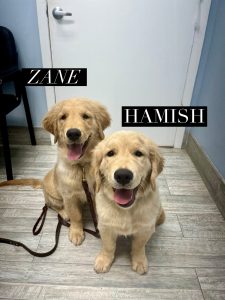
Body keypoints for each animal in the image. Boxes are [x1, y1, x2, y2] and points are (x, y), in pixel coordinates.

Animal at [41, 99, 110, 245]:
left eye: (86, 116)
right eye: (63, 117)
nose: (73, 133)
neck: (82, 166)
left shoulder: (95, 193)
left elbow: (97, 211)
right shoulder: (69, 196)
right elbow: (76, 216)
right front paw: (76, 232)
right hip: (53, 194)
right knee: (52, 205)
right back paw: (64, 213)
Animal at [92, 131, 165, 274]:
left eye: (138, 153)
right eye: (110, 153)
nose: (123, 175)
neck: (126, 210)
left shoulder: (145, 229)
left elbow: (138, 246)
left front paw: (140, 261)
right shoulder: (105, 226)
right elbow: (108, 246)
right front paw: (104, 260)